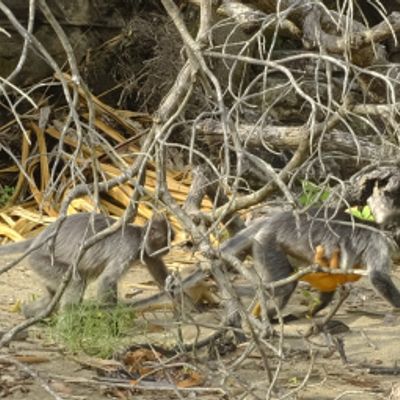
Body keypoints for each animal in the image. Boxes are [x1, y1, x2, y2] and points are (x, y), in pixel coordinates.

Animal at [0, 214, 175, 318]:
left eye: (169, 240)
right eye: (164, 241)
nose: (168, 249)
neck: (139, 237)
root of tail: (38, 240)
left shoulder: (148, 254)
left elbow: (160, 272)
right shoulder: (129, 247)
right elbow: (106, 280)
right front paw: (112, 320)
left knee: (54, 293)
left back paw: (30, 312)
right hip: (40, 260)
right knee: (76, 281)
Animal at [220, 209, 400, 318]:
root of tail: (271, 220)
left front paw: (313, 310)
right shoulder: (379, 240)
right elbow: (378, 276)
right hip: (267, 243)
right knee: (281, 287)